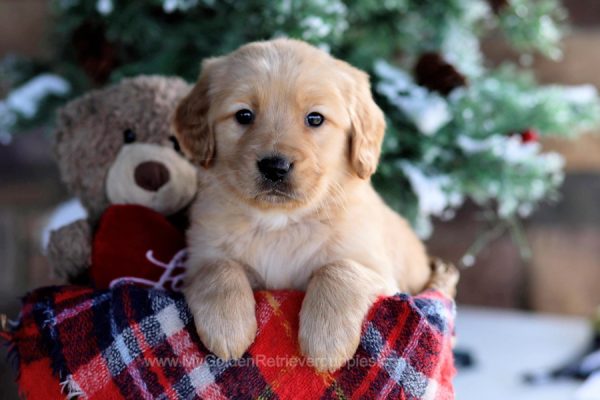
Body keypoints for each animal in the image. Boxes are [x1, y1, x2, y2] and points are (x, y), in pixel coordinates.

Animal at [173, 38, 440, 372]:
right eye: (244, 115)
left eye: (315, 119)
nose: (275, 167)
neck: (280, 223)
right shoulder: (197, 259)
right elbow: (218, 268)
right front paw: (228, 327)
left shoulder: (383, 276)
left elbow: (338, 268)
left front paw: (326, 341)